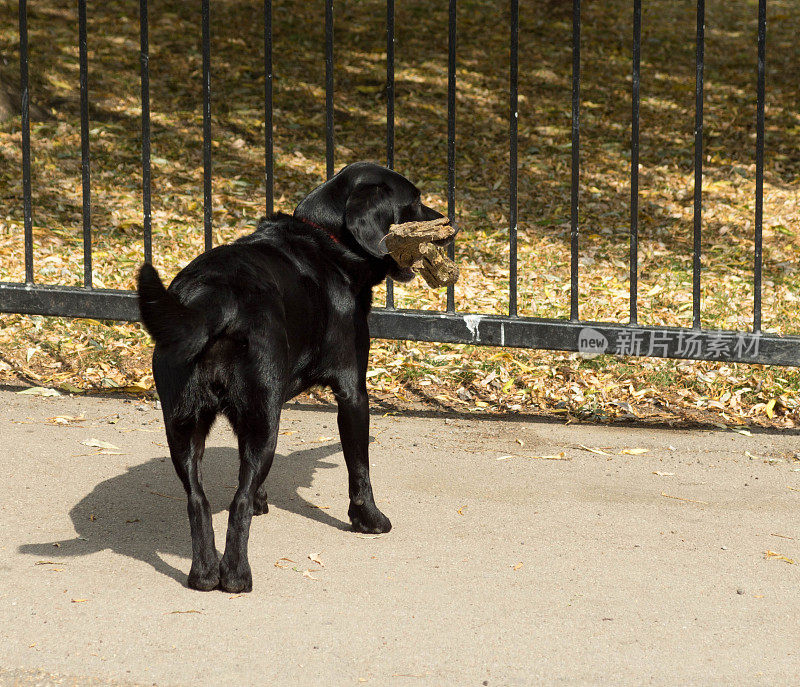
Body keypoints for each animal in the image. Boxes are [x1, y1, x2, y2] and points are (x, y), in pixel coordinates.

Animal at [140, 161, 446, 592]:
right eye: (414, 202)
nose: (451, 226)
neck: (329, 240)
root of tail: (212, 298)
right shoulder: (353, 391)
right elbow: (360, 469)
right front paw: (369, 520)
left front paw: (262, 499)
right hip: (261, 420)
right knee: (235, 504)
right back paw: (236, 576)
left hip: (184, 425)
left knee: (198, 500)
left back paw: (204, 574)